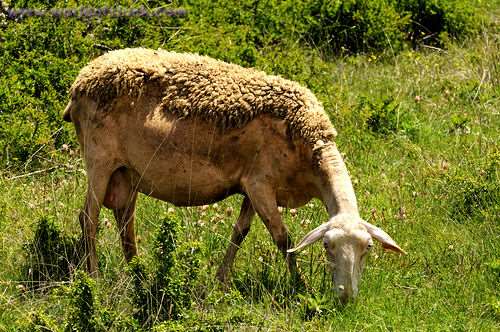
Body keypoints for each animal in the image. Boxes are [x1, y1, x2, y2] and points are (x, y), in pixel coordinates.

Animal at [63, 48, 406, 302]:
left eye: (368, 249)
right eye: (327, 247)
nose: (346, 297)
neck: (306, 142)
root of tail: (81, 79)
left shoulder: (253, 187)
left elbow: (240, 232)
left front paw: (221, 282)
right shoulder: (260, 185)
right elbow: (283, 239)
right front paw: (300, 287)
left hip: (128, 172)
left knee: (125, 222)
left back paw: (139, 275)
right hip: (100, 159)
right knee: (89, 218)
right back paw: (94, 277)